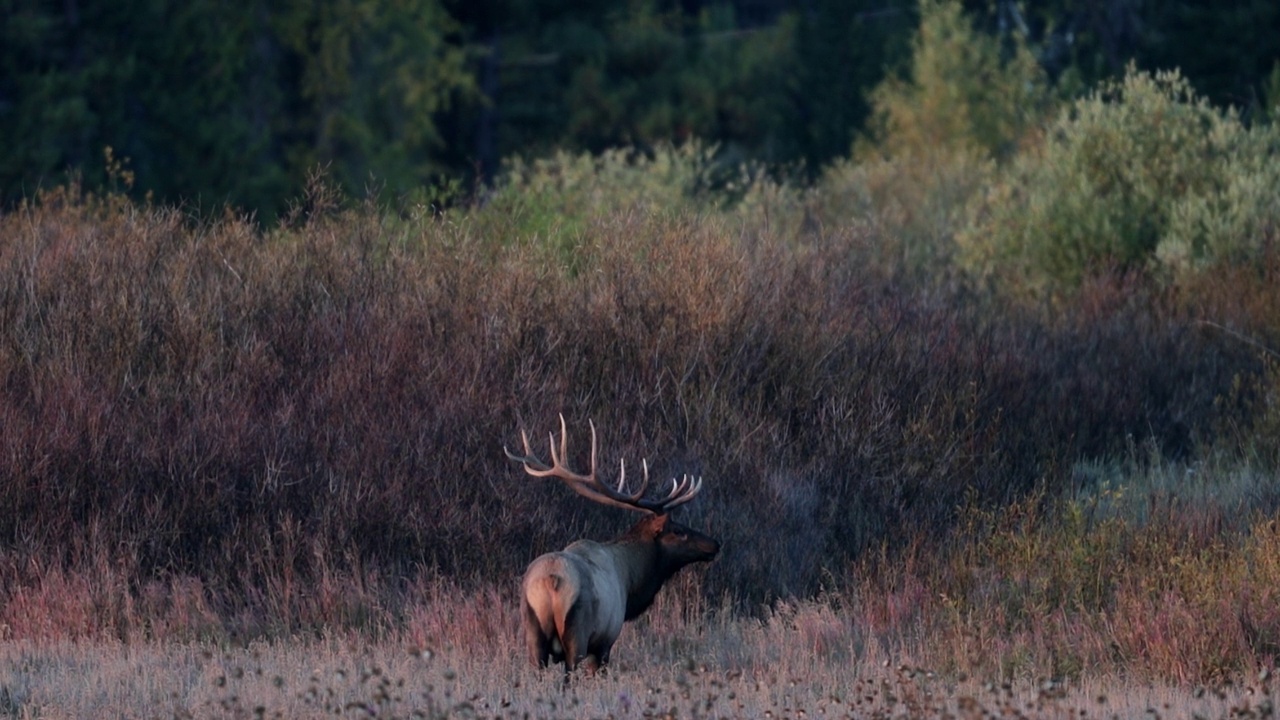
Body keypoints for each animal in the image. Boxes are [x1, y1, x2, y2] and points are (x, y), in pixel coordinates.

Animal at [501, 415, 721, 671]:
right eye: (679, 531)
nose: (715, 544)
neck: (630, 581)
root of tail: (551, 580)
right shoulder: (605, 642)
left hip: (532, 632)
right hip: (577, 632)